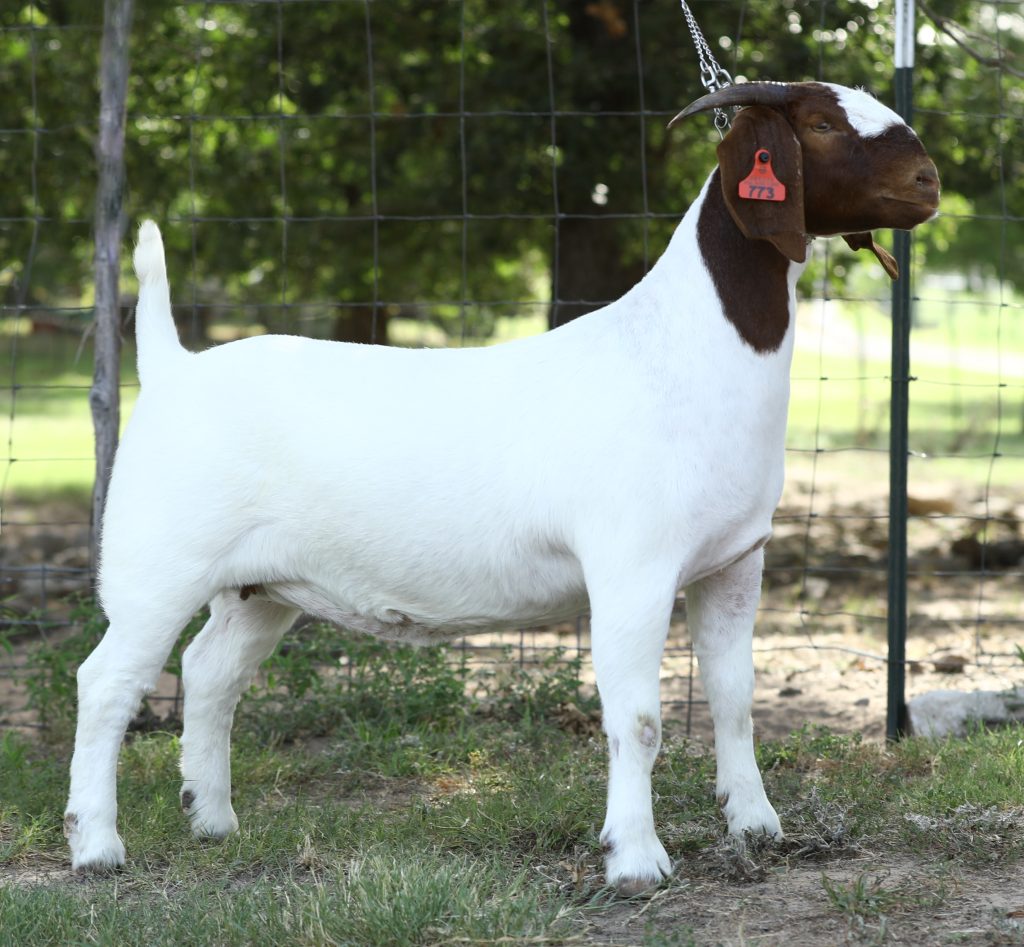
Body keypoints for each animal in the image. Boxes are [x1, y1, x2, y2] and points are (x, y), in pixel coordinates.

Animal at [65, 81, 939, 894]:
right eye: (820, 123)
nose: (928, 180)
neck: (681, 349)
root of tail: (173, 366)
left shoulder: (733, 562)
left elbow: (733, 695)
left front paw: (756, 825)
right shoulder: (632, 569)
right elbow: (639, 717)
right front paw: (635, 858)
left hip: (257, 587)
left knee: (211, 673)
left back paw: (212, 819)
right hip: (158, 565)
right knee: (107, 683)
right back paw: (97, 845)